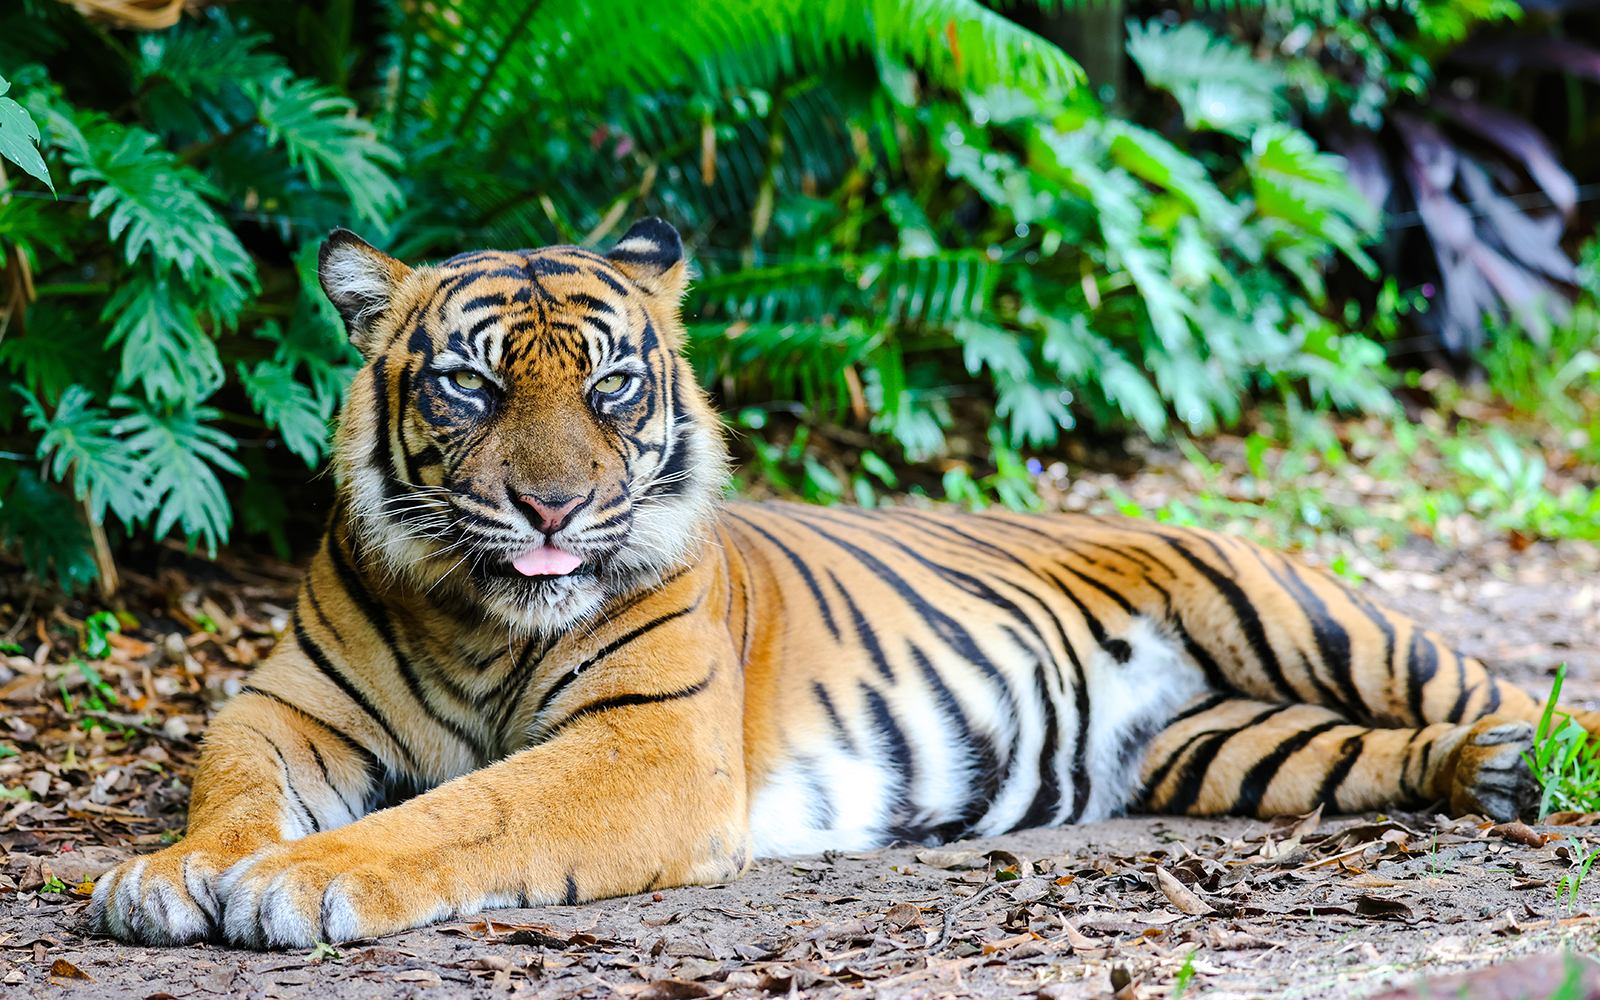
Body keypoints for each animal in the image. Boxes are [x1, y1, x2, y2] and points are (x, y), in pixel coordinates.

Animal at [91, 217, 1590, 949]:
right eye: (469, 382)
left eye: (612, 384)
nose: (553, 504)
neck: (480, 617)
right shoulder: (289, 709)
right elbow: (233, 788)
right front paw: (171, 875)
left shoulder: (646, 746)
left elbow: (469, 810)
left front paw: (300, 883)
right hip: (1233, 749)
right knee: (1382, 750)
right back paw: (1485, 772)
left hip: (1305, 612)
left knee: (1491, 680)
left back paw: (1532, 755)